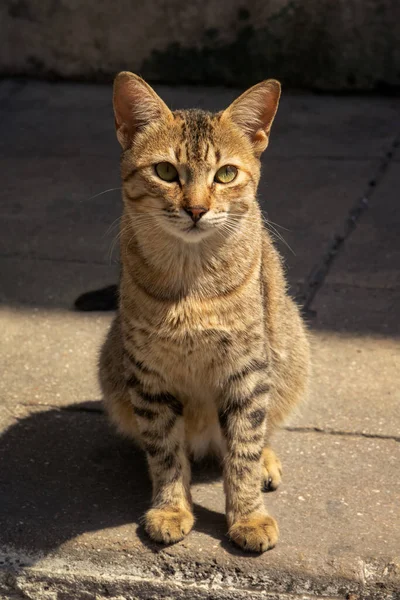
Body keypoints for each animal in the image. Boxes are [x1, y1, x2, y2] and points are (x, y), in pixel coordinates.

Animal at [97, 71, 310, 552]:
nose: (196, 209)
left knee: (258, 433)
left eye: (226, 174)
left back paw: (266, 463)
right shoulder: (149, 376)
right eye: (165, 171)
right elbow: (165, 452)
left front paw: (248, 516)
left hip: (291, 350)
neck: (191, 280)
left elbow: (244, 449)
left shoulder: (248, 370)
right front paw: (171, 507)